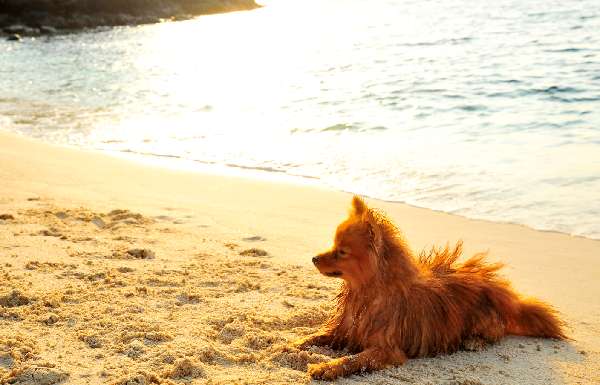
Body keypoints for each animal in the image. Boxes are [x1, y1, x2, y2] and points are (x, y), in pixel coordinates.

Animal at [296, 194, 568, 380]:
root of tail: (502, 292)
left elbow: (352, 360)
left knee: (497, 331)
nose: (314, 258)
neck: (366, 292)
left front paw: (325, 367)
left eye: (342, 252)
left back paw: (474, 341)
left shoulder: (387, 350)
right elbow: (316, 336)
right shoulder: (345, 331)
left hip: (484, 318)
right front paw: (292, 343)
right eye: (333, 245)